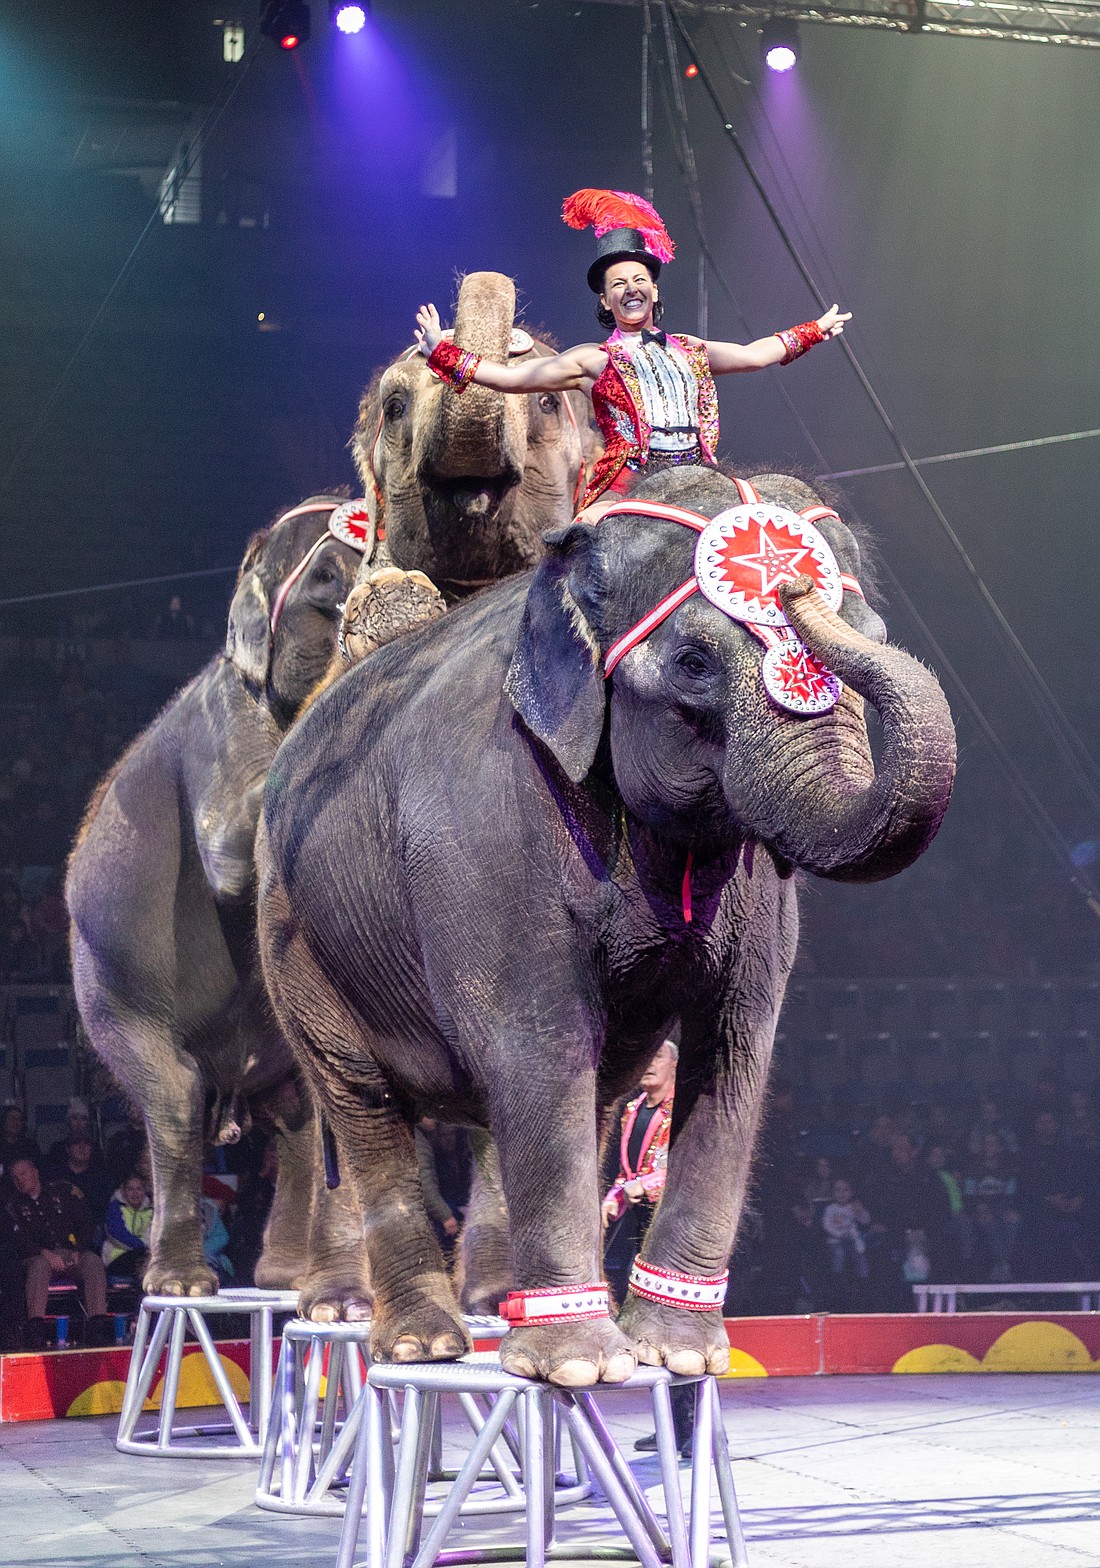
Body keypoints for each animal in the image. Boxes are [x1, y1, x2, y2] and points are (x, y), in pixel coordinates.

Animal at [67, 498, 374, 1298]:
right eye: (325, 580)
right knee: (173, 1099)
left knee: (300, 1115)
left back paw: (291, 1282)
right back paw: (180, 1285)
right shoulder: (221, 729)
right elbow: (233, 861)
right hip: (110, 998)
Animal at [258, 464, 958, 1386]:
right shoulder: (486, 818)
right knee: (363, 1100)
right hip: (293, 936)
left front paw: (677, 1357)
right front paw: (580, 1369)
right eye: (695, 662)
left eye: (873, 633)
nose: (792, 582)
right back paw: (426, 1345)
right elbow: (538, 1038)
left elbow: (734, 1044)